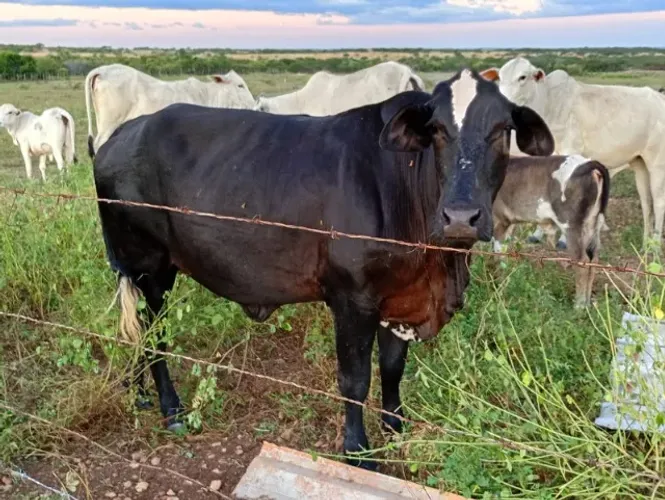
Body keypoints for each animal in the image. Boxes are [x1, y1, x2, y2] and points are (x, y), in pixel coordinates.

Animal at [93, 68, 554, 470]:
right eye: (437, 129)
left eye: (502, 130)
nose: (461, 217)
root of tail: (120, 135)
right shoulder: (353, 300)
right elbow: (355, 380)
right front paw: (358, 450)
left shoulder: (398, 298)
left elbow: (392, 368)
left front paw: (395, 428)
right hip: (149, 266)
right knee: (155, 336)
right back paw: (171, 409)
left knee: (139, 331)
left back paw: (139, 394)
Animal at [481, 57, 665, 249]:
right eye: (500, 78)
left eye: (522, 77)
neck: (548, 103)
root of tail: (660, 98)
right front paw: (538, 234)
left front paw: (563, 239)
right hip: (640, 163)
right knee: (646, 202)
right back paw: (645, 242)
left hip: (657, 162)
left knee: (659, 202)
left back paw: (655, 245)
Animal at [491, 155, 609, 307]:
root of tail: (588, 163)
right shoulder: (508, 223)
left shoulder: (499, 221)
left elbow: (497, 254)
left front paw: (497, 285)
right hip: (592, 225)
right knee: (593, 260)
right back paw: (587, 304)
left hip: (571, 225)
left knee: (582, 260)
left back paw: (579, 305)